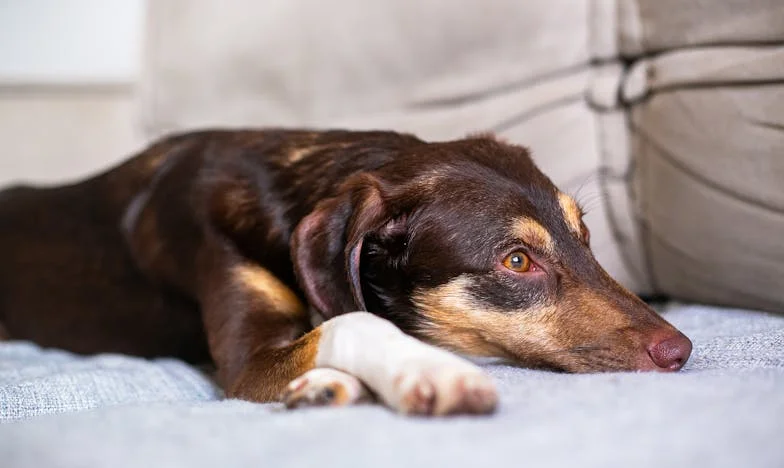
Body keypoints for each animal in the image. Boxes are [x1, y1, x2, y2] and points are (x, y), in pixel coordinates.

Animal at [0, 130, 688, 414]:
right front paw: (430, 372)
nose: (681, 351)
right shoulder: (246, 366)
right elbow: (355, 321)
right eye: (516, 261)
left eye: (586, 239)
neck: (290, 188)